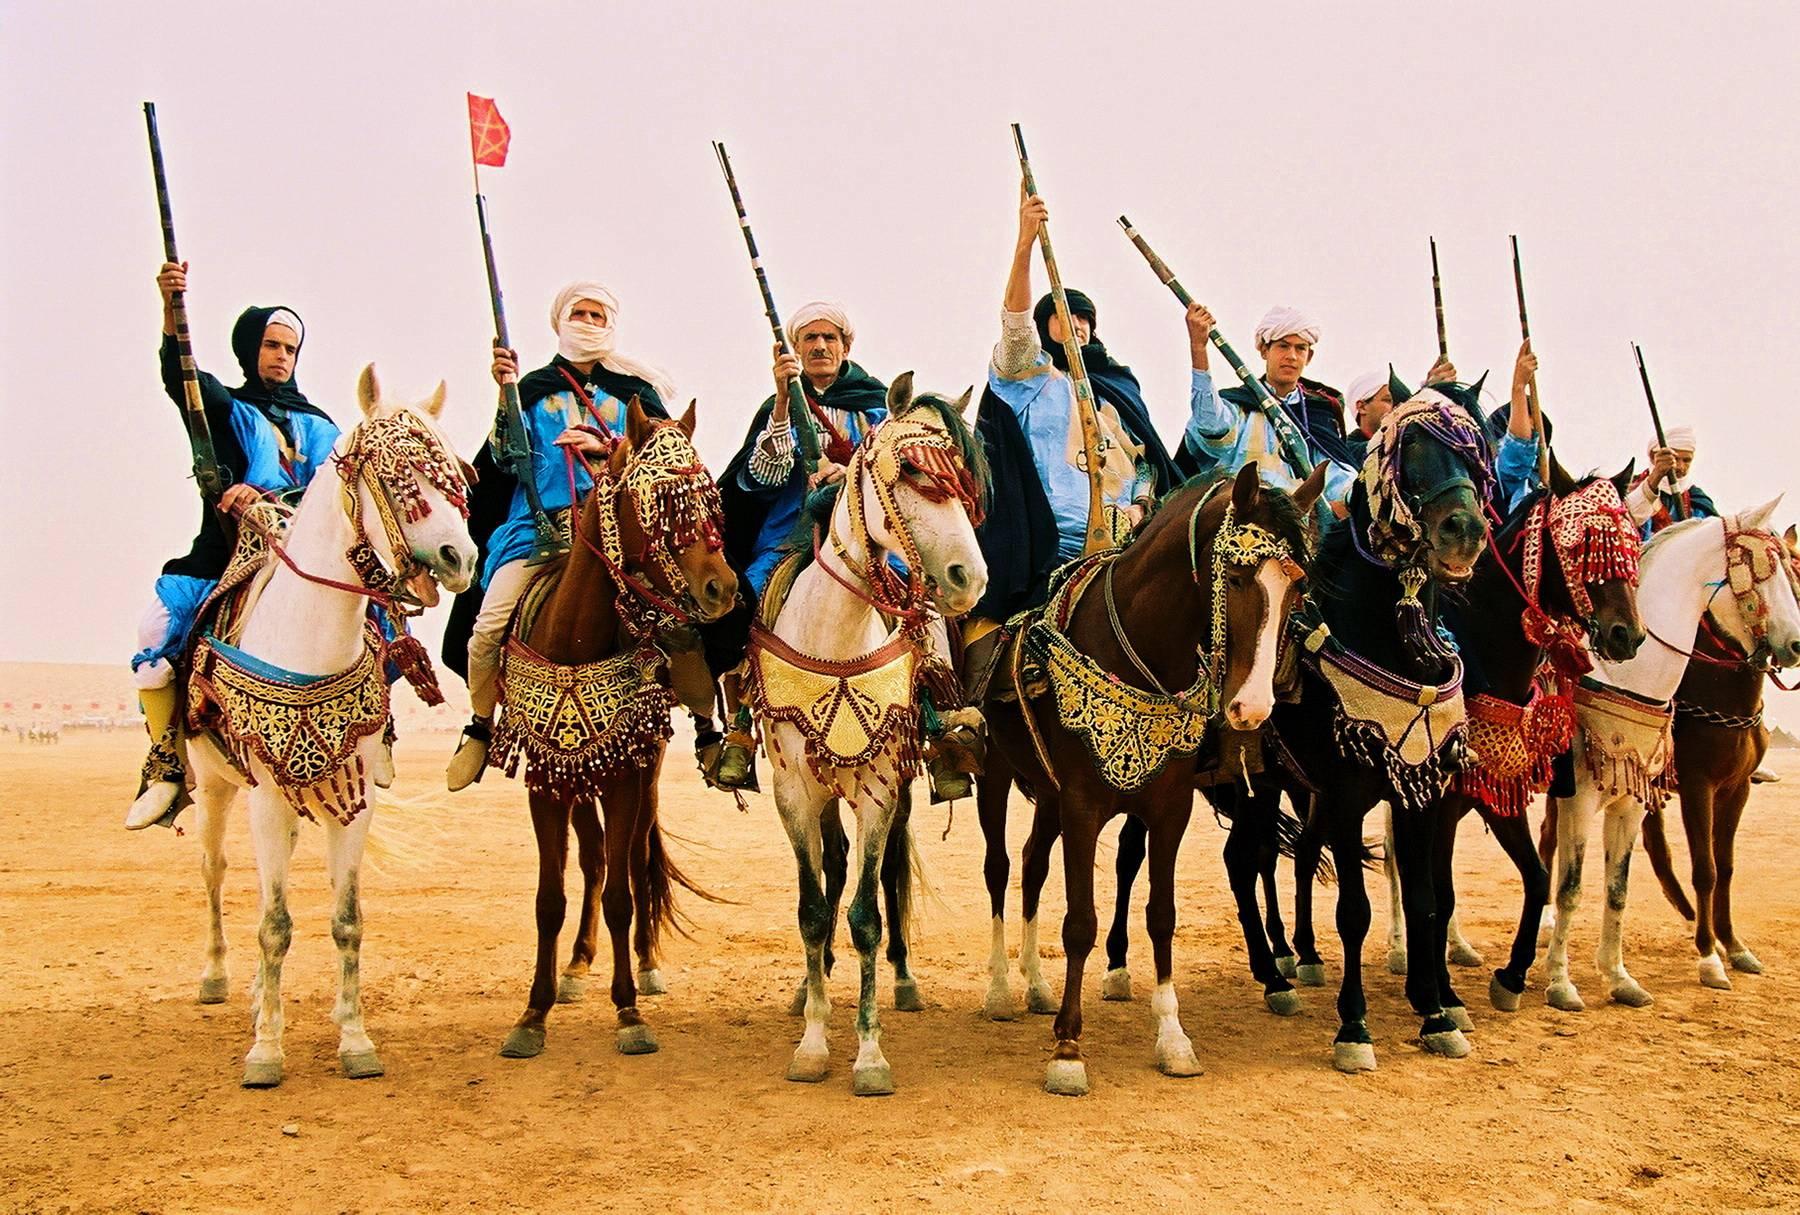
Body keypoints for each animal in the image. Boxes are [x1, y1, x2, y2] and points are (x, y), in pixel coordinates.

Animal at [186, 365, 475, 1087]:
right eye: (398, 472)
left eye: (454, 472)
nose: (461, 556)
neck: (309, 639)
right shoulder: (264, 794)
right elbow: (273, 923)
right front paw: (265, 1051)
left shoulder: (356, 795)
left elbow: (346, 921)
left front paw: (354, 1039)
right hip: (216, 783)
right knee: (214, 868)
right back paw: (218, 977)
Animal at [489, 403, 734, 1058]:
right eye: (664, 502)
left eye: (710, 497)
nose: (723, 588)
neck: (575, 635)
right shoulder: (547, 782)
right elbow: (550, 897)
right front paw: (533, 1013)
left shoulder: (627, 776)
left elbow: (625, 893)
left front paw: (628, 1011)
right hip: (580, 780)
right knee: (596, 861)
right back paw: (576, 966)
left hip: (642, 773)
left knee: (635, 860)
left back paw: (646, 966)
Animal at [756, 376, 993, 1094]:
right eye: (912, 470)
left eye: (964, 479)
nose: (969, 579)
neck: (834, 637)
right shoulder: (795, 793)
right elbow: (812, 908)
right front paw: (812, 1040)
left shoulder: (880, 790)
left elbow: (867, 913)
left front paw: (868, 1054)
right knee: (833, 869)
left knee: (884, 874)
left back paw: (906, 980)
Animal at [979, 460, 1332, 1094]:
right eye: (1236, 576)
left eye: (1298, 589)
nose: (1252, 708)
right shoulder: (1082, 806)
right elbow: (1081, 923)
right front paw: (1068, 1050)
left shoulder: (1169, 808)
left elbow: (1162, 917)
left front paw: (1173, 1038)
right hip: (998, 775)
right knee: (999, 868)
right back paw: (1000, 988)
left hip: (1047, 795)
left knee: (1033, 862)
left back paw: (1036, 984)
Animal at [1540, 500, 1800, 1015]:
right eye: (1764, 571)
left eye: (1792, 573)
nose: (1797, 645)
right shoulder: (1683, 787)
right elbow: (1701, 870)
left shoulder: (1698, 792)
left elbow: (1637, 884)